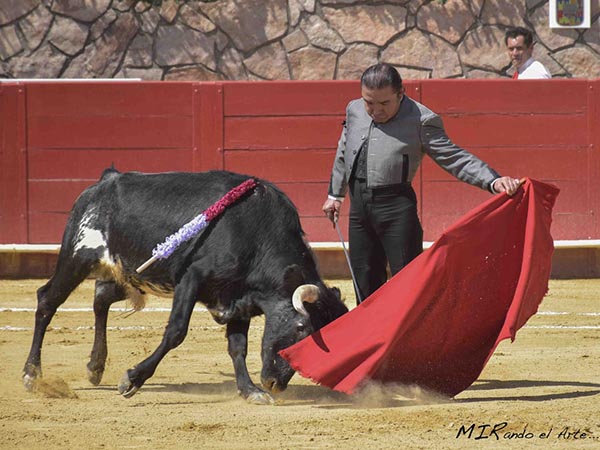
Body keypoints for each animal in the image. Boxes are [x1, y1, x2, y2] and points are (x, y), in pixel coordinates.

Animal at [22, 170, 346, 404]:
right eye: (302, 328)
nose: (275, 384)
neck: (255, 234)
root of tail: (103, 182)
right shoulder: (192, 278)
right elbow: (176, 331)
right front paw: (132, 380)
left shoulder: (238, 300)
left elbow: (237, 347)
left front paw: (250, 390)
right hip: (77, 257)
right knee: (47, 300)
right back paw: (31, 374)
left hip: (126, 273)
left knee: (100, 299)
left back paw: (95, 367)